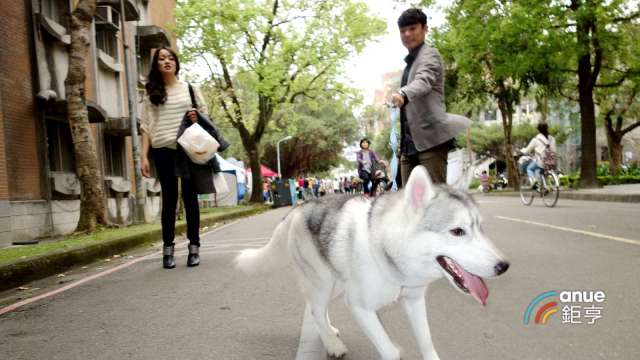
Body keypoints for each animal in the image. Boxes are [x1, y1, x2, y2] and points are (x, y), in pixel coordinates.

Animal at [235, 167, 510, 360]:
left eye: (480, 227)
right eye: (457, 231)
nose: (503, 266)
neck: (387, 252)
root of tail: (297, 208)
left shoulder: (414, 301)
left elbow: (427, 342)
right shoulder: (360, 308)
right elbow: (391, 351)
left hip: (335, 284)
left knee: (318, 310)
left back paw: (330, 332)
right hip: (323, 283)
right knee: (315, 309)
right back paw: (333, 345)